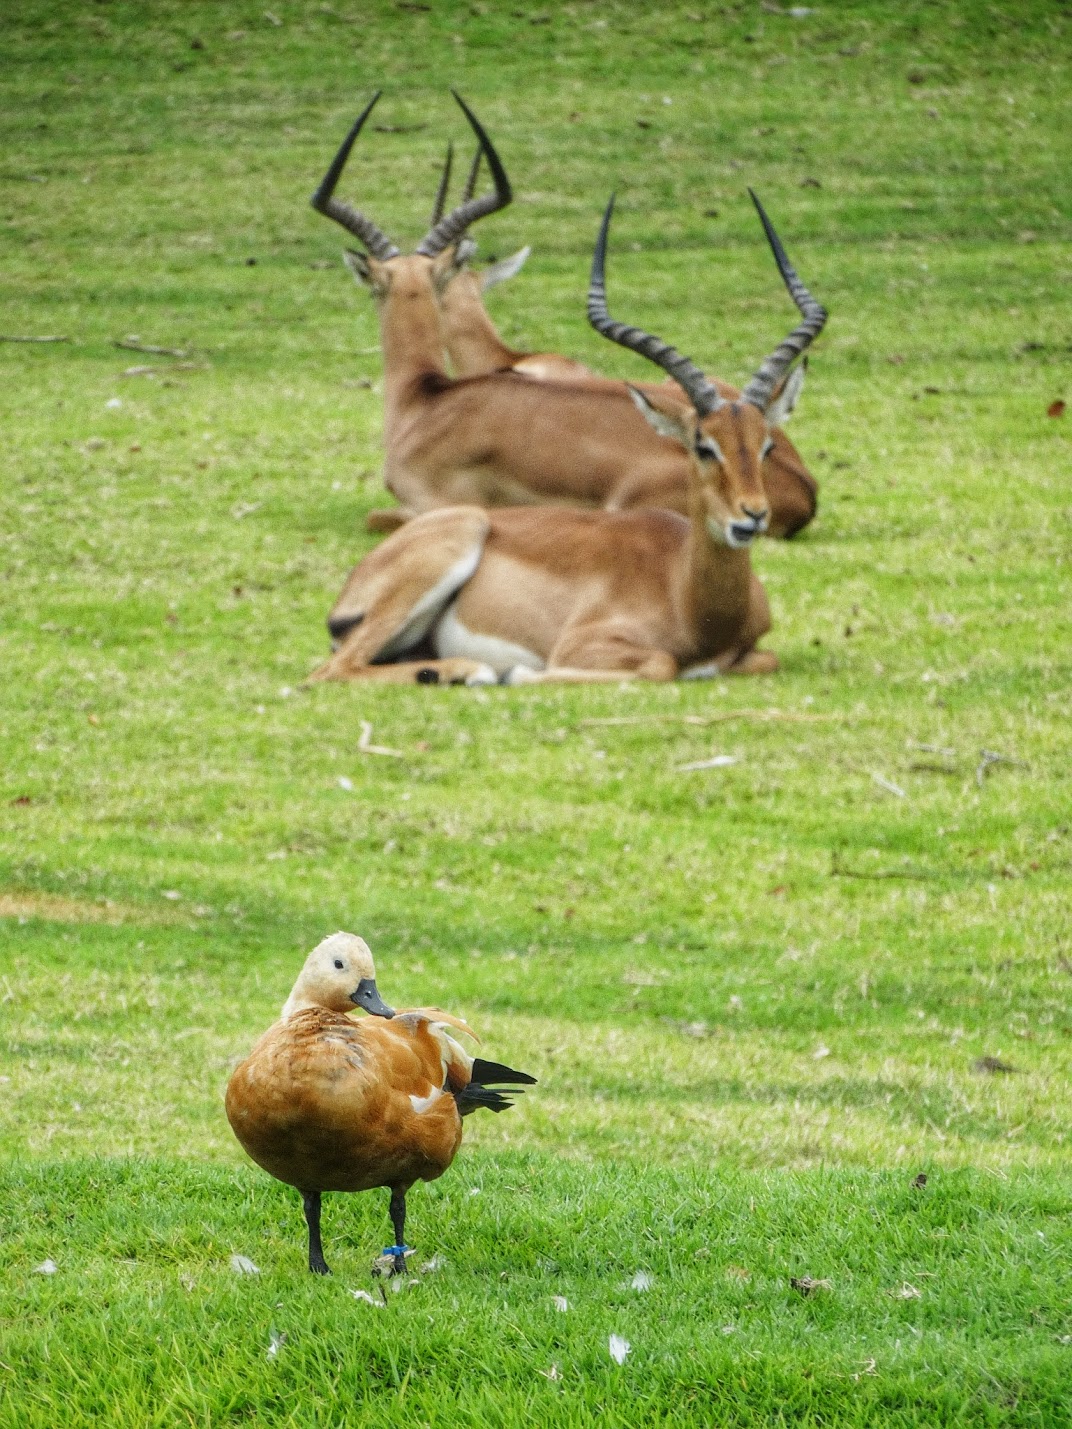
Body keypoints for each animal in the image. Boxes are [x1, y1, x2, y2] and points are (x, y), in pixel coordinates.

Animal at [309, 189, 826, 687]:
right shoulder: (579, 645)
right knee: (330, 670)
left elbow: (761, 659)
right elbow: (658, 664)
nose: (751, 515)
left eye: (765, 445)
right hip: (454, 539)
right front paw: (519, 672)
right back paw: (470, 671)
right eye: (703, 447)